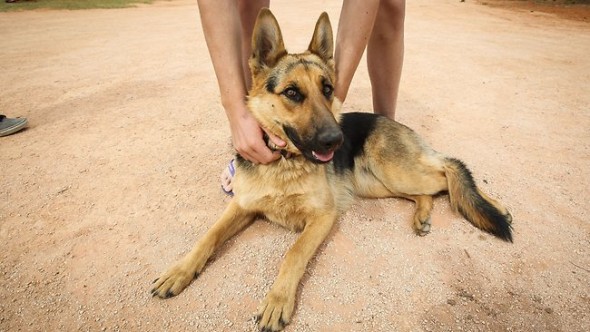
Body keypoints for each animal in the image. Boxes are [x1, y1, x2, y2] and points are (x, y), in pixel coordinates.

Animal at [154, 8, 512, 332]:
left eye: (327, 89)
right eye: (292, 92)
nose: (336, 139)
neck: (285, 162)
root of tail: (390, 121)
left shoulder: (323, 216)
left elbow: (293, 253)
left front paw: (277, 301)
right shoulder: (241, 206)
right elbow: (207, 236)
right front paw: (179, 271)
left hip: (394, 171)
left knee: (448, 168)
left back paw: (495, 205)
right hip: (379, 184)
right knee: (428, 189)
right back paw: (423, 215)